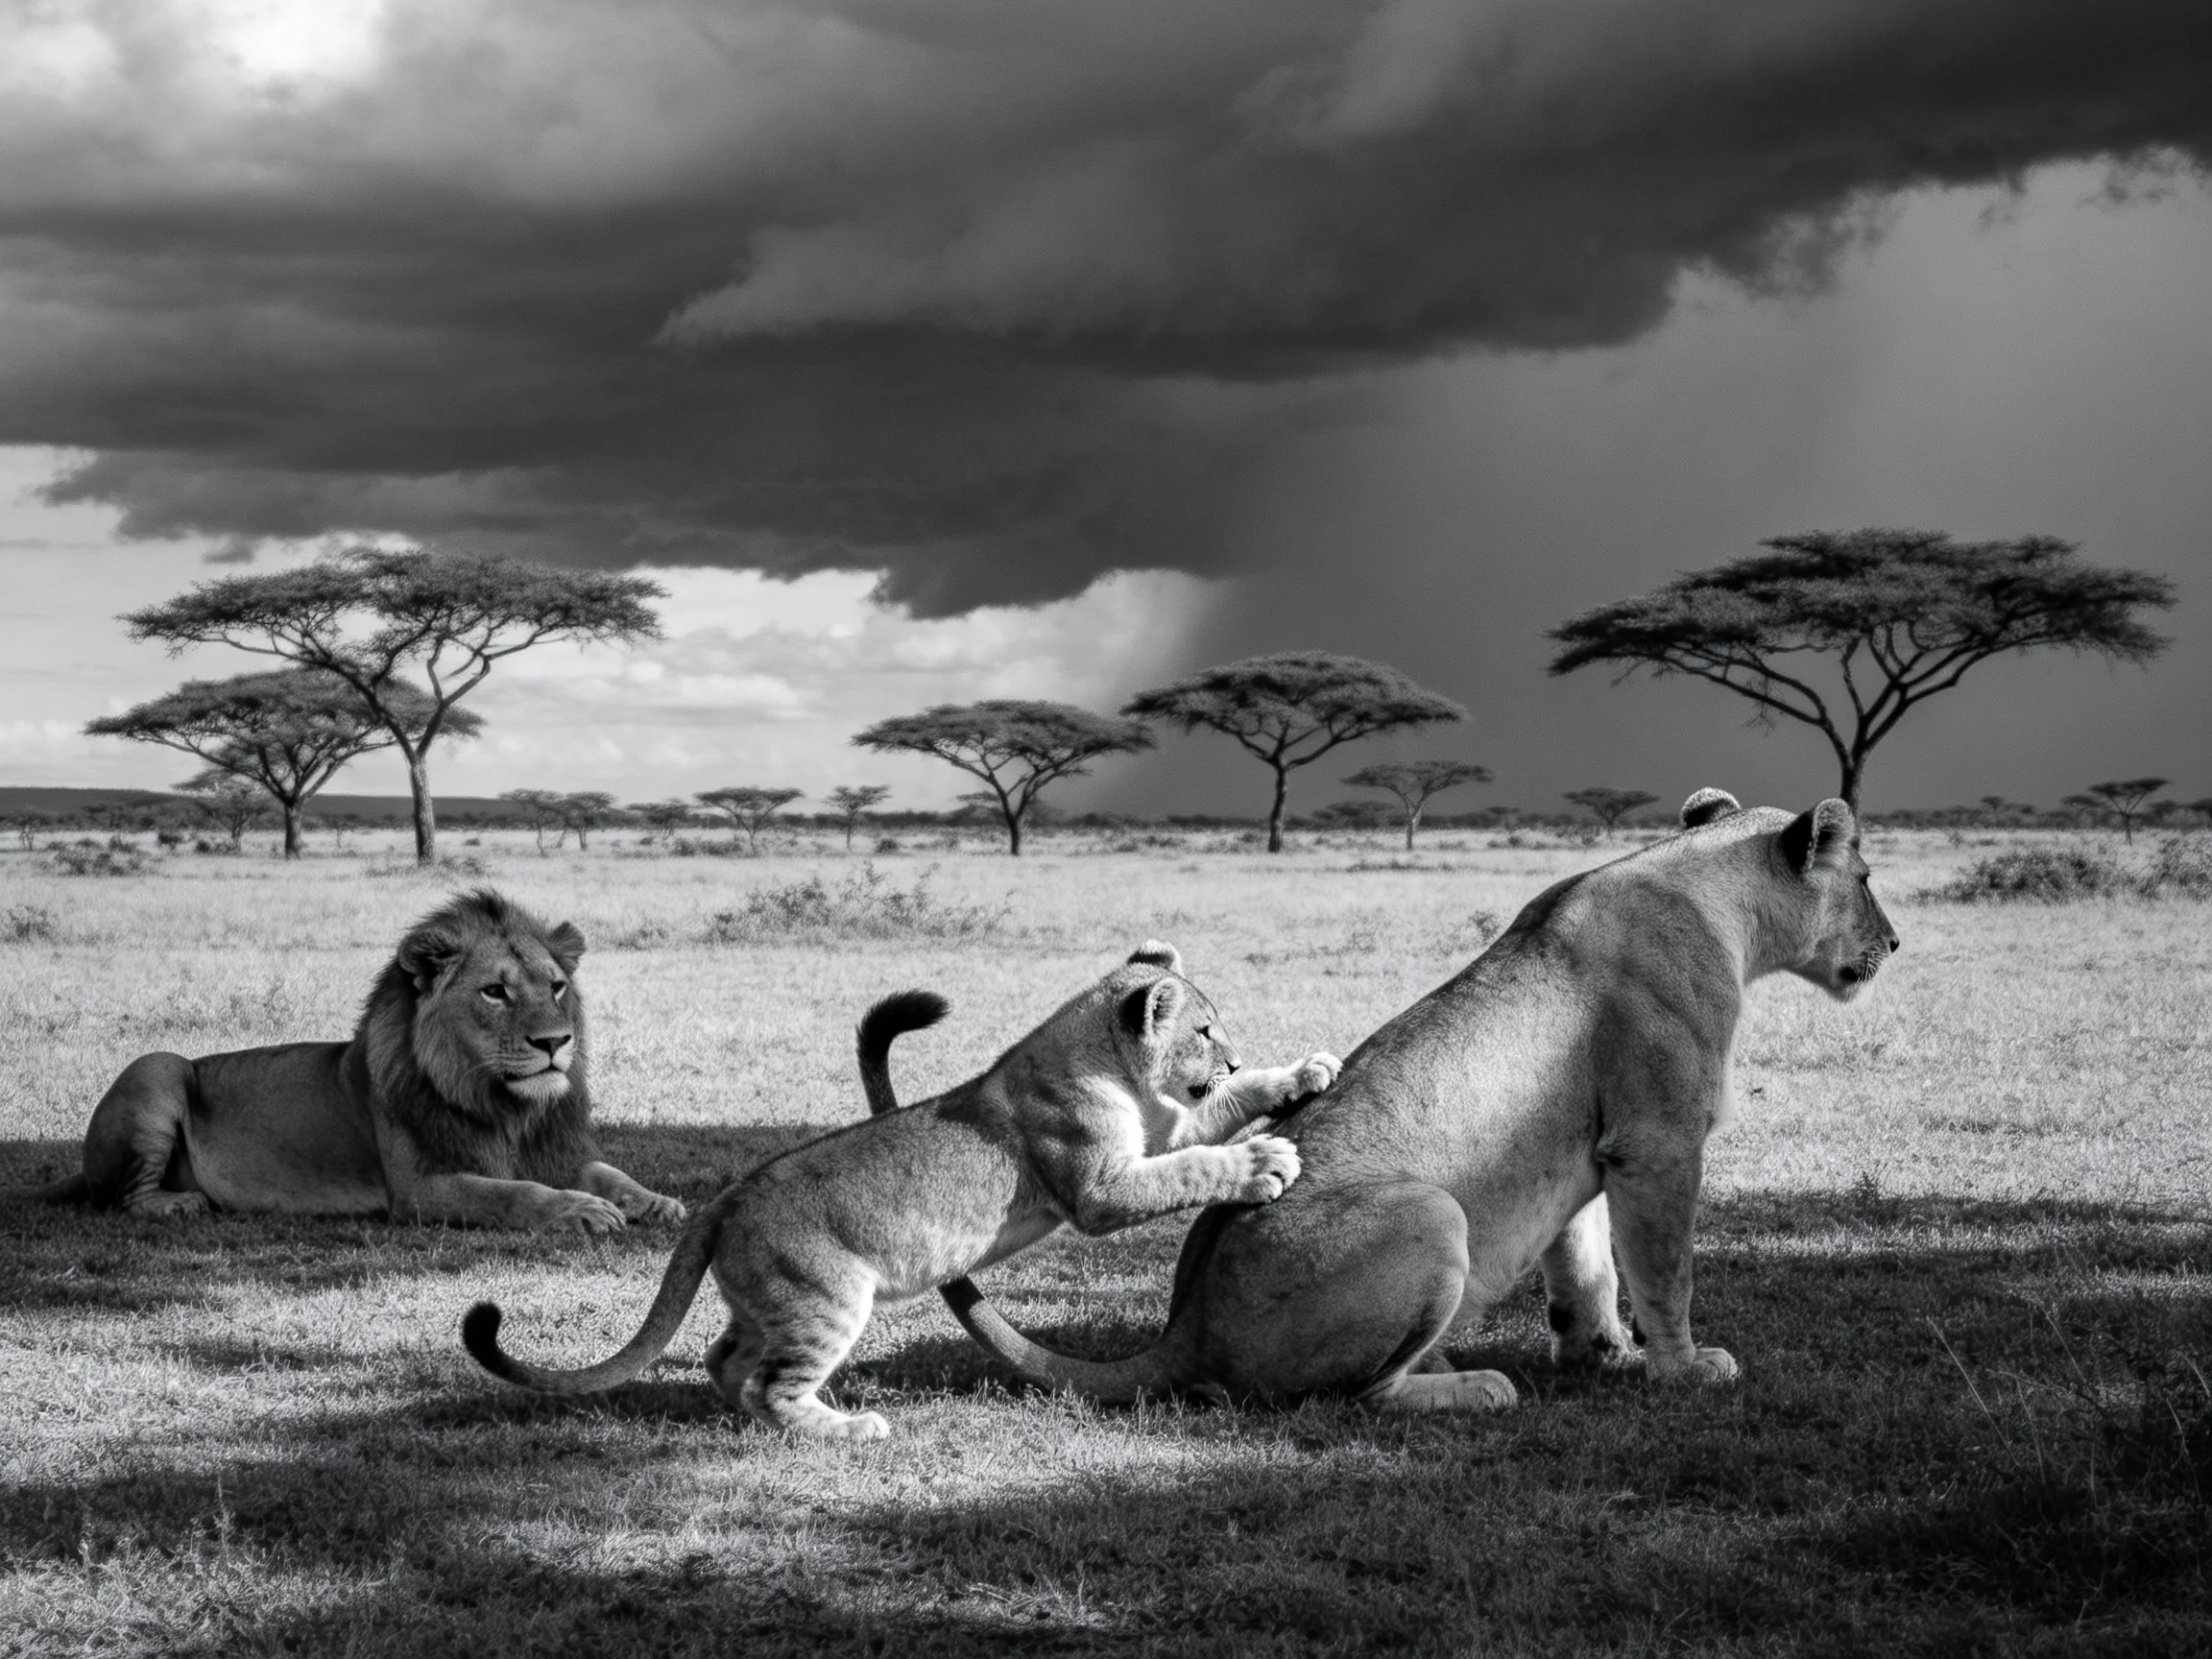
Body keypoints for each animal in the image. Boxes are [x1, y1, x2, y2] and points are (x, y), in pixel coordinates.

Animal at [29, 888, 683, 1234]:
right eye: (495, 992)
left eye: (555, 987)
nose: (555, 1042)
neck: (504, 1106)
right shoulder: (420, 1190)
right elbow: (515, 1194)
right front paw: (581, 1210)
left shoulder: (553, 1150)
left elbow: (610, 1172)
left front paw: (654, 1201)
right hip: (156, 1066)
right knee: (121, 1196)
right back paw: (180, 1201)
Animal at [462, 942, 1341, 1438]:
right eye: (1205, 1030)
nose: (1231, 1057)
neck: (1109, 1063)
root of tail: (725, 1198)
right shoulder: (1100, 1189)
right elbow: (1196, 1165)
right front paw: (1265, 1162)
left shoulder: (1158, 1133)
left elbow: (1214, 1121)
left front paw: (1303, 1072)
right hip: (827, 1298)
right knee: (773, 1382)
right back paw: (848, 1430)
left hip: (767, 1300)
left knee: (726, 1360)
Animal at [938, 791, 1900, 1410]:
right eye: (1865, 878)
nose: (1893, 943)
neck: (1706, 892)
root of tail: (1186, 1323)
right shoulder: (1658, 1140)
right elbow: (1665, 1270)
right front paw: (1685, 1368)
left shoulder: (1588, 1146)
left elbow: (1585, 1265)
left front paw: (1605, 1355)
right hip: (1436, 1214)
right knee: (1357, 1398)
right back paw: (1477, 1385)